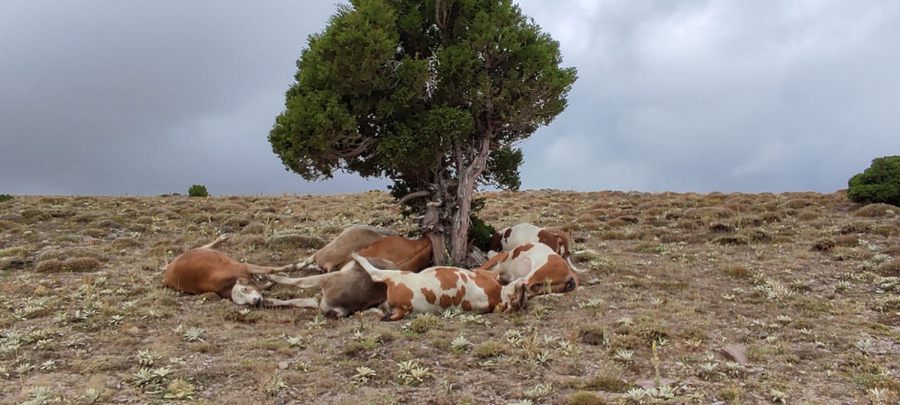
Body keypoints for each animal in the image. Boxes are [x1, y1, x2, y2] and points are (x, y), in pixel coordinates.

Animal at [160, 234, 300, 306]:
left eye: (245, 289)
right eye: (245, 303)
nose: (255, 301)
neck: (228, 285)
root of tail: (167, 272)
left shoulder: (244, 266)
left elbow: (270, 269)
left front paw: (296, 266)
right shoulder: (245, 269)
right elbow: (266, 278)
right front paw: (270, 283)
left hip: (195, 251)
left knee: (204, 246)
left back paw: (221, 238)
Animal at [346, 251, 528, 320]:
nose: (523, 286)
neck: (497, 295)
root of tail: (403, 308)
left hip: (395, 275)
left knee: (374, 273)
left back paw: (357, 256)